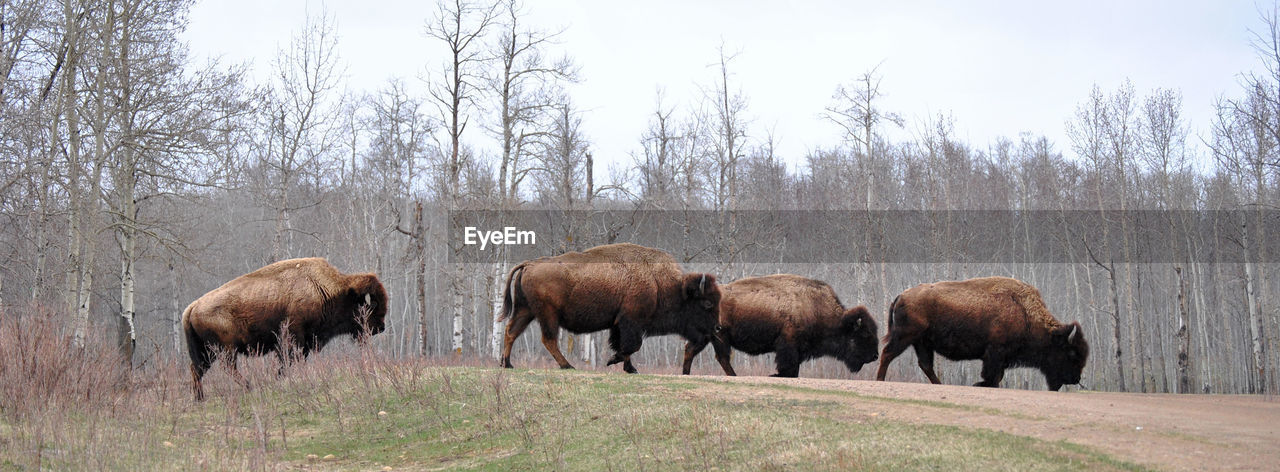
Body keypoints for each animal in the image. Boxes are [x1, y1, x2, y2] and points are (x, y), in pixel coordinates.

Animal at [181, 259, 384, 399]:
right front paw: (280, 380)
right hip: (225, 349)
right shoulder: (292, 338)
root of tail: (193, 306)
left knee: (197, 369)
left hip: (207, 351)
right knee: (226, 367)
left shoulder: (303, 343)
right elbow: (287, 360)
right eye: (372, 303)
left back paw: (200, 398)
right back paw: (248, 386)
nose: (380, 328)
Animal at [496, 243, 721, 370]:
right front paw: (614, 361)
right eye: (707, 303)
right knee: (548, 339)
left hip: (526, 311)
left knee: (511, 332)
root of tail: (530, 264)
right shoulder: (631, 321)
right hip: (547, 315)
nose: (718, 327)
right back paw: (567, 366)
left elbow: (625, 345)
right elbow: (631, 345)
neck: (658, 282)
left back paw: (507, 364)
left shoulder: (619, 324)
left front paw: (629, 368)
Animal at [680, 273, 880, 376]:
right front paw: (776, 375)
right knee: (721, 357)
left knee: (690, 350)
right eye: (863, 334)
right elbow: (788, 367)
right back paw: (734, 376)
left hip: (706, 337)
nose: (875, 356)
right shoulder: (788, 346)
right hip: (719, 336)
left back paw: (686, 373)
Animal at [880, 276, 1090, 388]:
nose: (1075, 379)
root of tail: (901, 296)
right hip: (906, 337)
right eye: (1072, 353)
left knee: (925, 365)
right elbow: (993, 376)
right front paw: (980, 384)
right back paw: (879, 380)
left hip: (922, 343)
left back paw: (940, 385)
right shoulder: (995, 352)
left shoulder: (1000, 357)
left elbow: (997, 375)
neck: (1024, 312)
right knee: (887, 353)